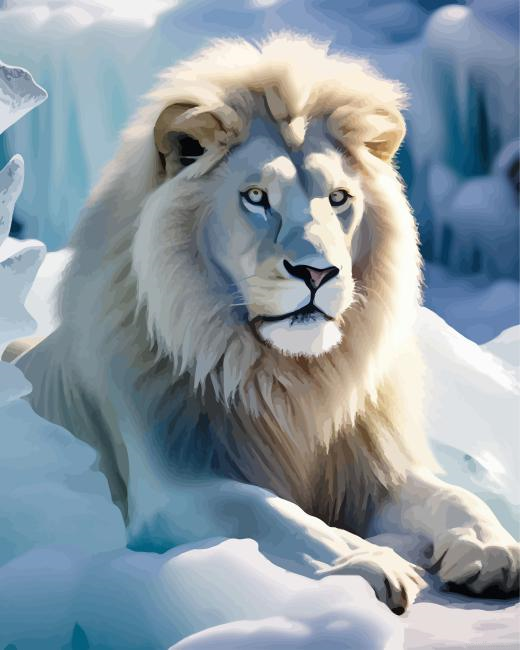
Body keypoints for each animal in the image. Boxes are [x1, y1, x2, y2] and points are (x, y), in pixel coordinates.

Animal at [14, 33, 519, 613]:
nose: (317, 271)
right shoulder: (170, 494)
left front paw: (492, 548)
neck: (289, 382)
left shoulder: (371, 472)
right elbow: (276, 514)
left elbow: (453, 494)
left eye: (338, 198)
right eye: (256, 197)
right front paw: (374, 562)